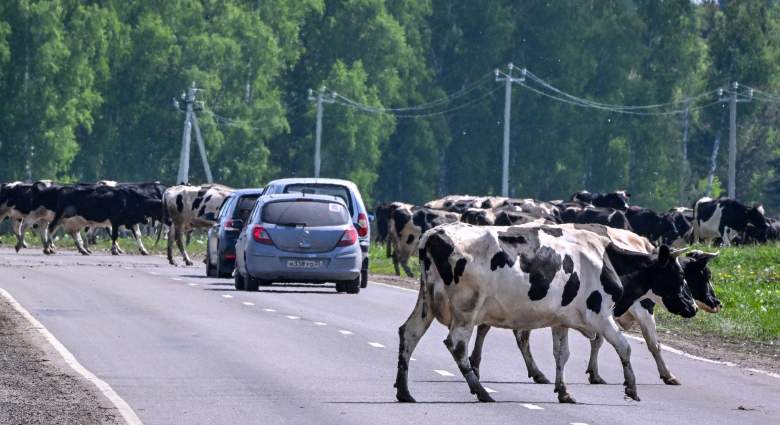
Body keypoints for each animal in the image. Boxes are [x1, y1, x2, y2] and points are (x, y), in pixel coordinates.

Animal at [396, 220, 696, 402]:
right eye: (680, 275)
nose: (692, 306)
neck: (607, 259)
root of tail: (434, 233)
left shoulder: (561, 319)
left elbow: (562, 355)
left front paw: (563, 392)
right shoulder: (600, 315)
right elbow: (625, 347)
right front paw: (631, 388)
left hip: (425, 304)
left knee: (409, 333)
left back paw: (404, 392)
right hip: (467, 309)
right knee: (456, 345)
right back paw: (481, 391)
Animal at [466, 225, 724, 388]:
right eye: (697, 275)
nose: (713, 304)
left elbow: (597, 341)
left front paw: (594, 373)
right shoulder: (638, 308)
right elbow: (653, 343)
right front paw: (668, 375)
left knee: (497, 330)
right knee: (510, 333)